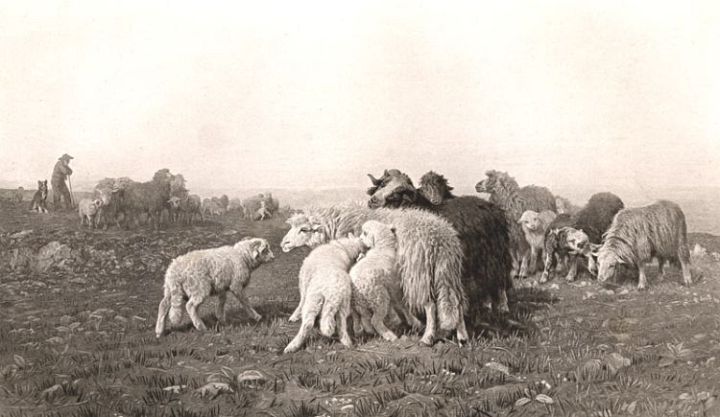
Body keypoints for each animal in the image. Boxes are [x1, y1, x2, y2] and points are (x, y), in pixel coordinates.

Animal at [282, 204, 466, 344]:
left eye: (304, 229)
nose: (284, 244)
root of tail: (440, 238)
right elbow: (396, 302)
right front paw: (404, 320)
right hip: (447, 273)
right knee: (456, 302)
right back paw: (461, 336)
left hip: (419, 273)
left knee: (430, 305)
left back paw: (427, 337)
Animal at [368, 167, 516, 316]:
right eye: (383, 184)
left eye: (398, 192)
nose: (373, 201)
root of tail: (493, 207)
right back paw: (487, 305)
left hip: (496, 253)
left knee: (500, 279)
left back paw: (502, 307)